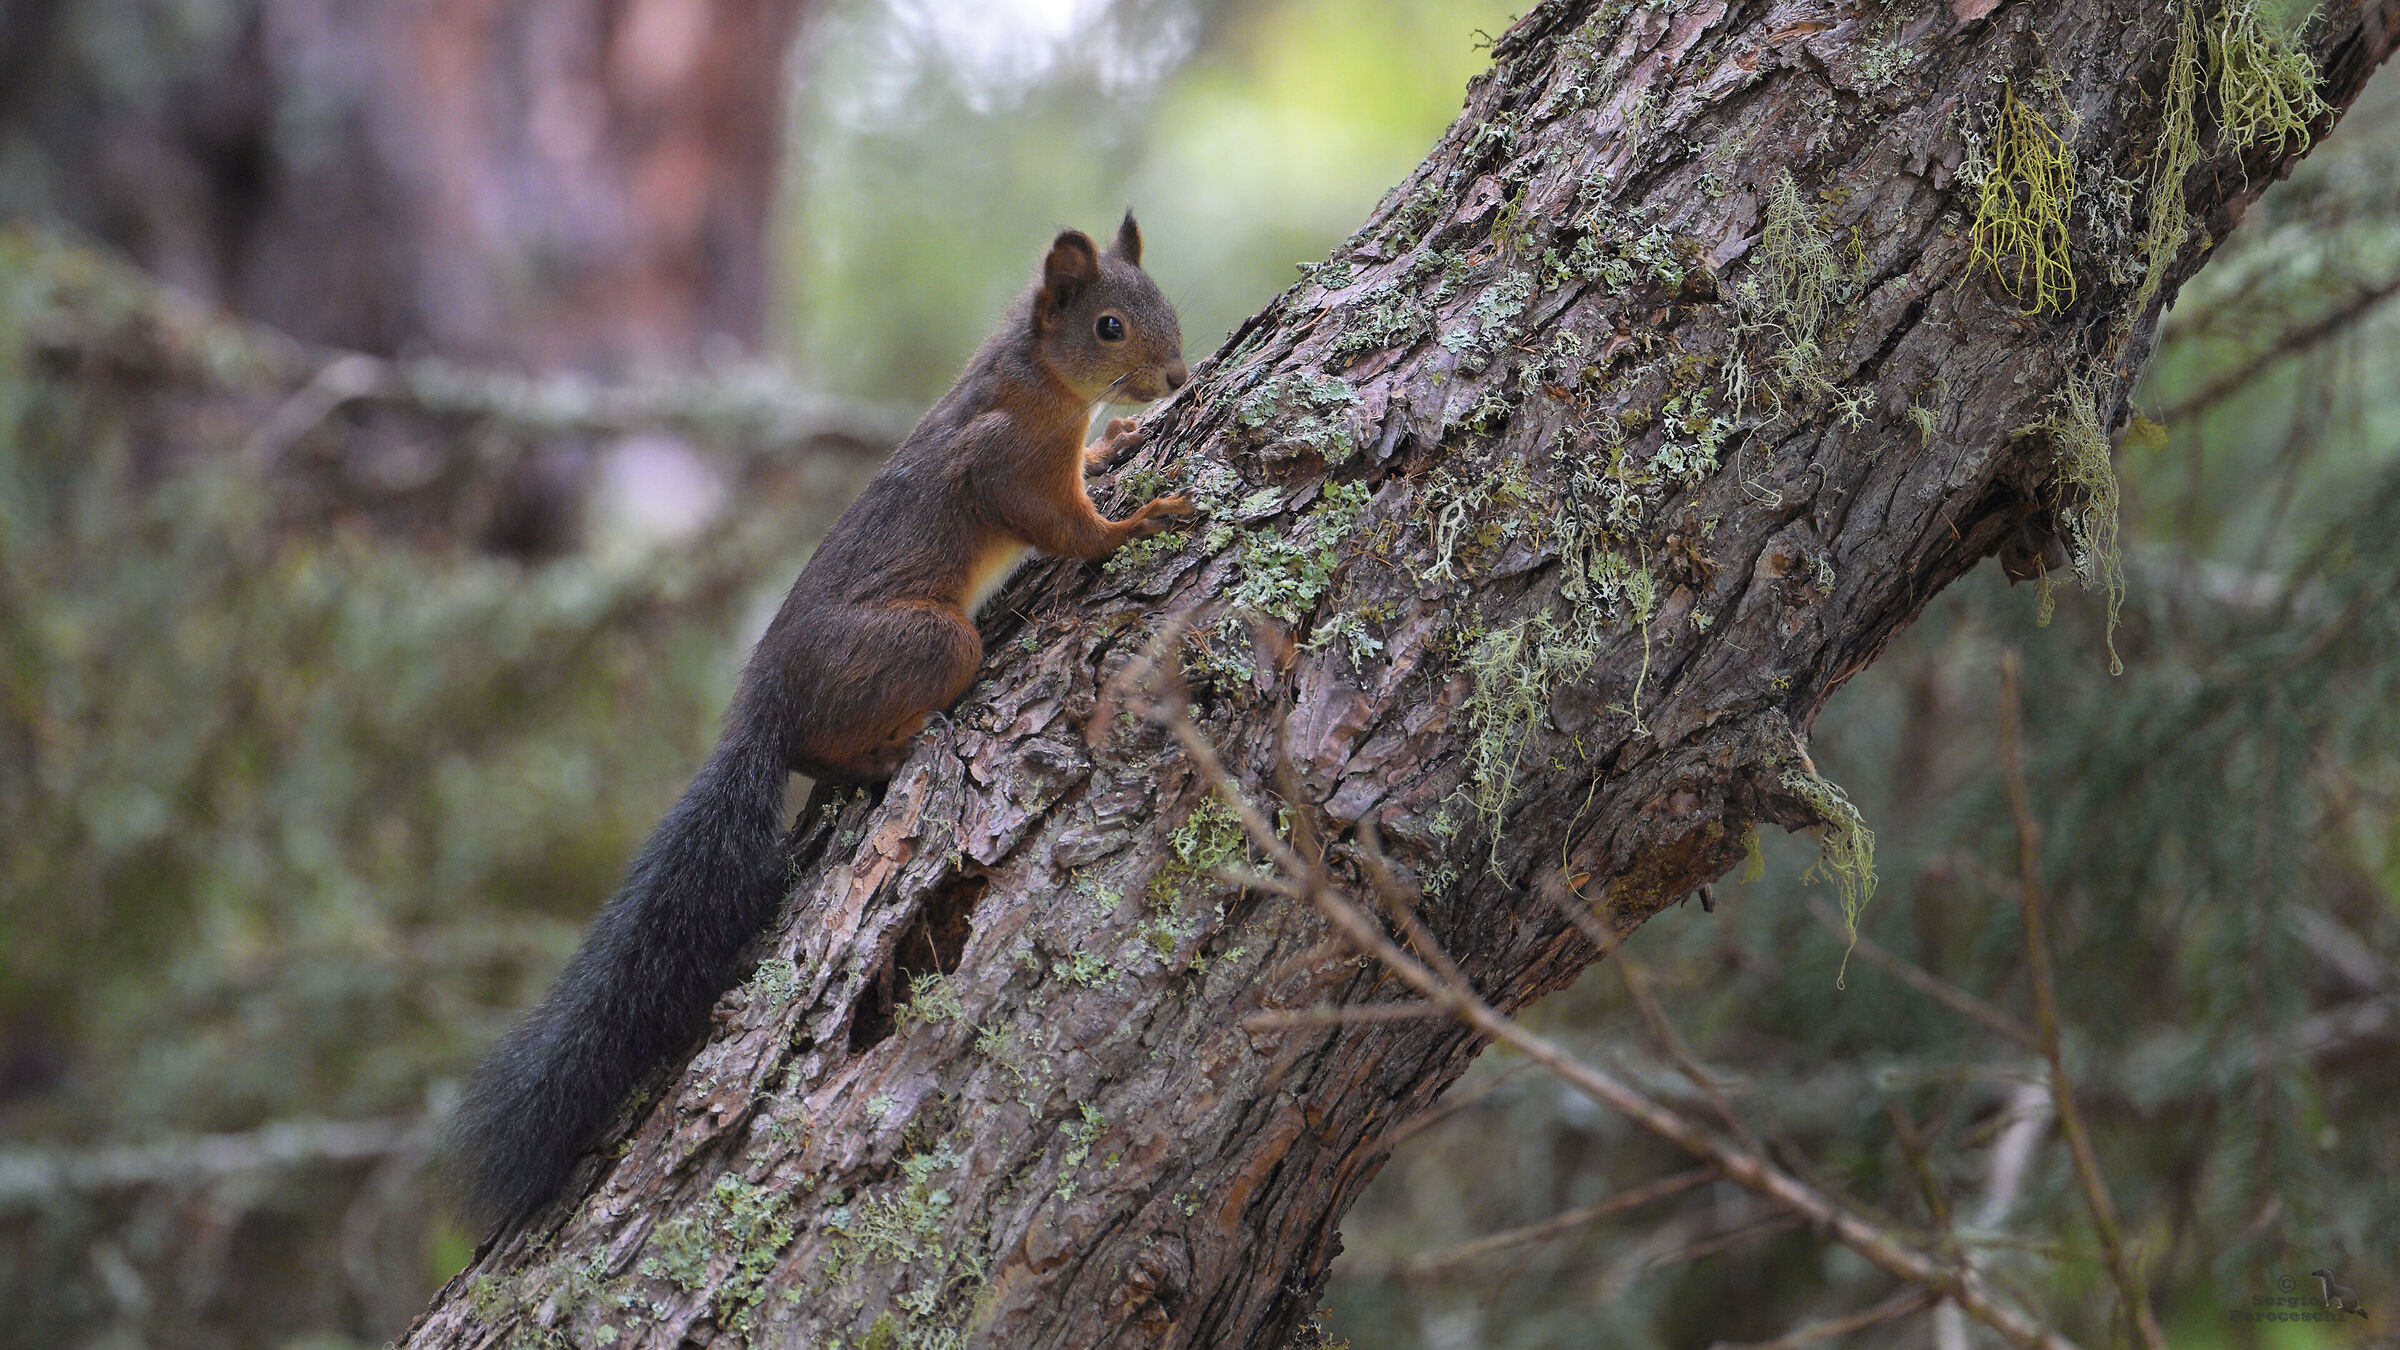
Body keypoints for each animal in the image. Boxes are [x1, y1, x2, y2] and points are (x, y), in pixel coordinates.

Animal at [444, 213, 1194, 1225]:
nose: (1177, 380)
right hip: (933, 645)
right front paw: (1135, 523)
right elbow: (1064, 527)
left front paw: (1117, 452)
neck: (1037, 380)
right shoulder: (1003, 461)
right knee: (825, 746)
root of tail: (761, 710)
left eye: (1166, 305)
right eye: (1111, 328)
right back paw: (888, 755)